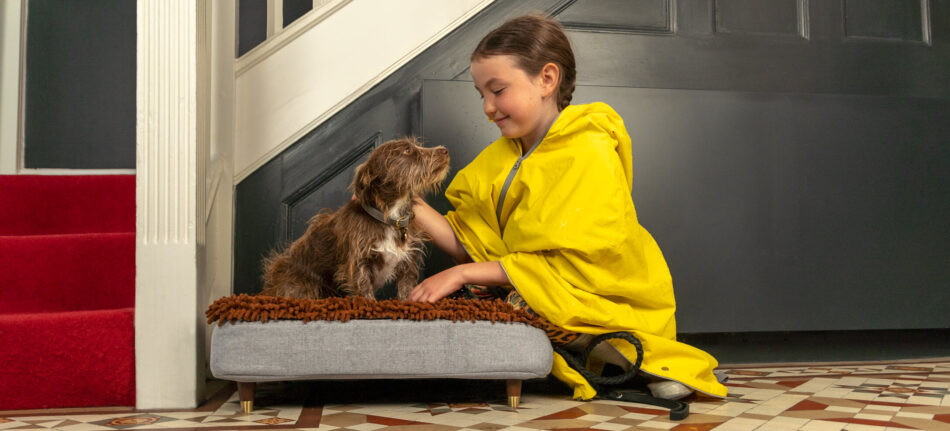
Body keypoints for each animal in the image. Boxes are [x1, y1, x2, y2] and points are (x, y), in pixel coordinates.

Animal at [260, 138, 454, 300]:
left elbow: (407, 292)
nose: (445, 150)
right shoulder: (357, 267)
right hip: (302, 286)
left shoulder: (407, 264)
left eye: (416, 145)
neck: (389, 219)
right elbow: (365, 295)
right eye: (407, 150)